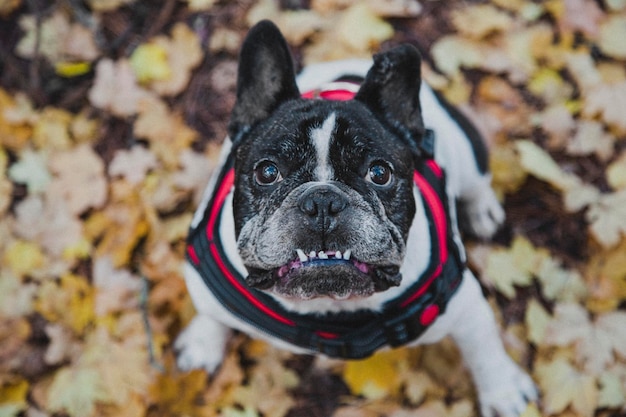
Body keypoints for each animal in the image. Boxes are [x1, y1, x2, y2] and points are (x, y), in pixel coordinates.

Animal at [176, 21, 536, 416]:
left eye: (379, 173)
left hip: (465, 151)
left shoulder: (464, 306)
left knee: (477, 181)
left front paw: (503, 394)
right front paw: (203, 343)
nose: (322, 200)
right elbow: (211, 312)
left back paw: (482, 210)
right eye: (267, 172)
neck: (331, 307)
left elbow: (485, 351)